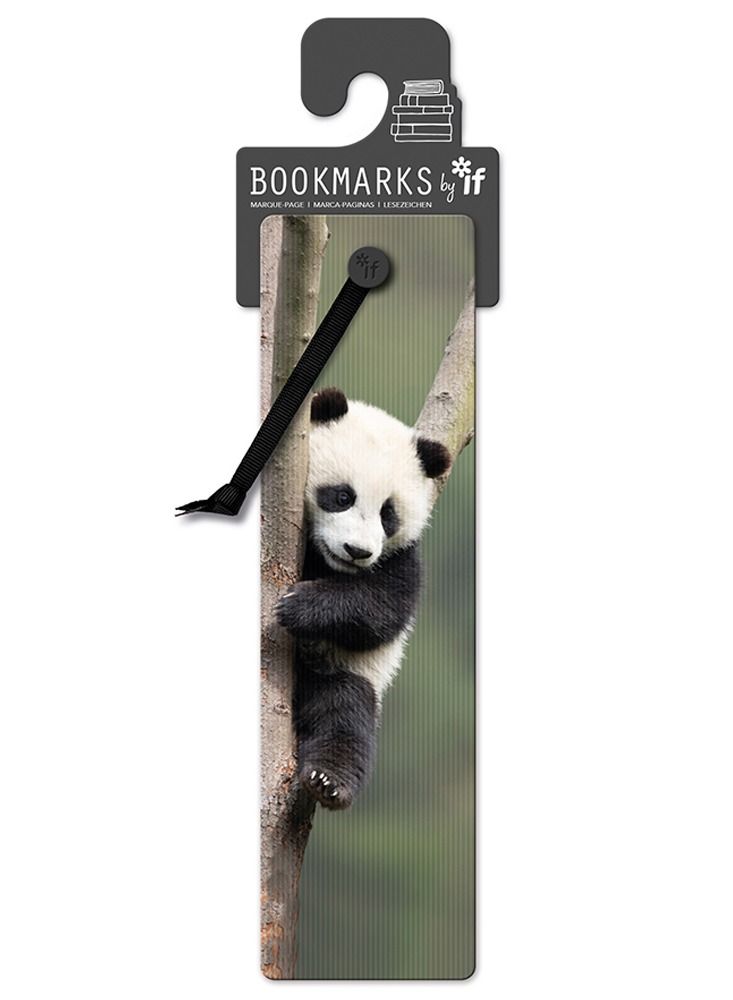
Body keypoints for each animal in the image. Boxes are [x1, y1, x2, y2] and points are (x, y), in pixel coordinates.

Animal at [276, 387, 451, 810]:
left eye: (388, 514)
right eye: (343, 496)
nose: (357, 551)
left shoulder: (402, 556)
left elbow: (381, 609)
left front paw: (298, 605)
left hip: (344, 674)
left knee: (344, 714)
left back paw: (327, 780)